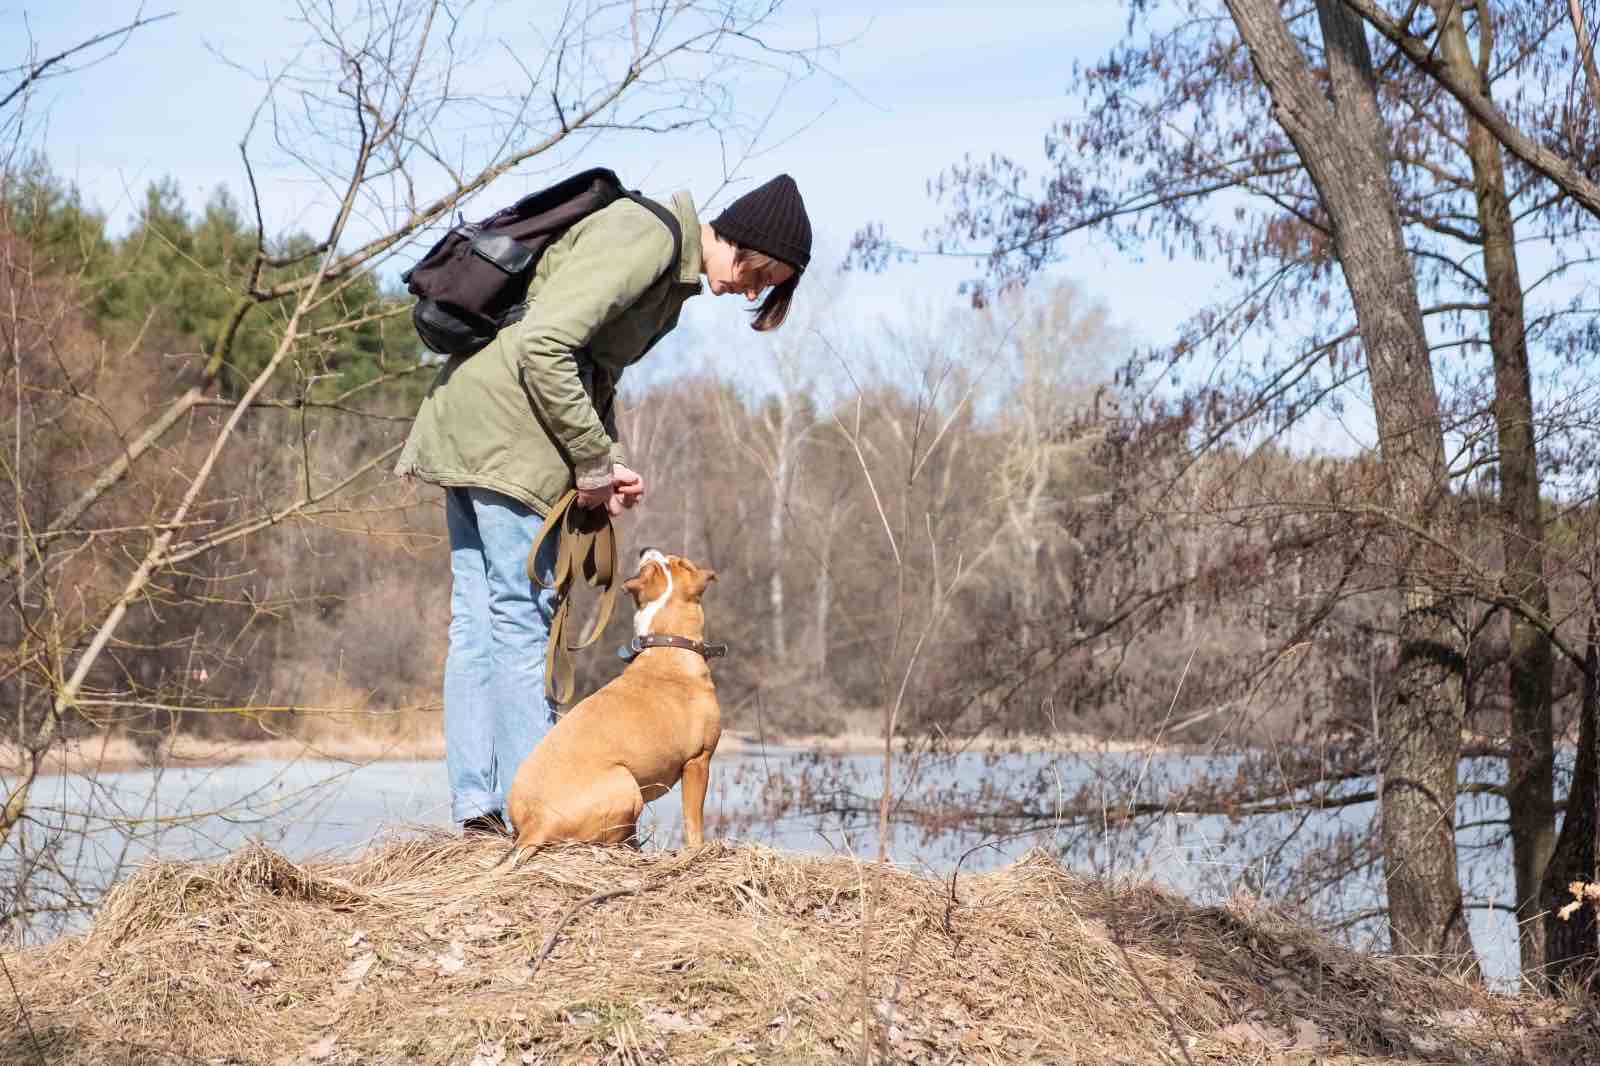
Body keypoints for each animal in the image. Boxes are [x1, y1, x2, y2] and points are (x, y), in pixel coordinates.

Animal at [505, 547, 726, 845]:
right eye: (681, 562)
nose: (644, 548)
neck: (667, 643)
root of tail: (535, 824)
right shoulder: (698, 761)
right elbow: (693, 823)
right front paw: (697, 850)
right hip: (627, 784)